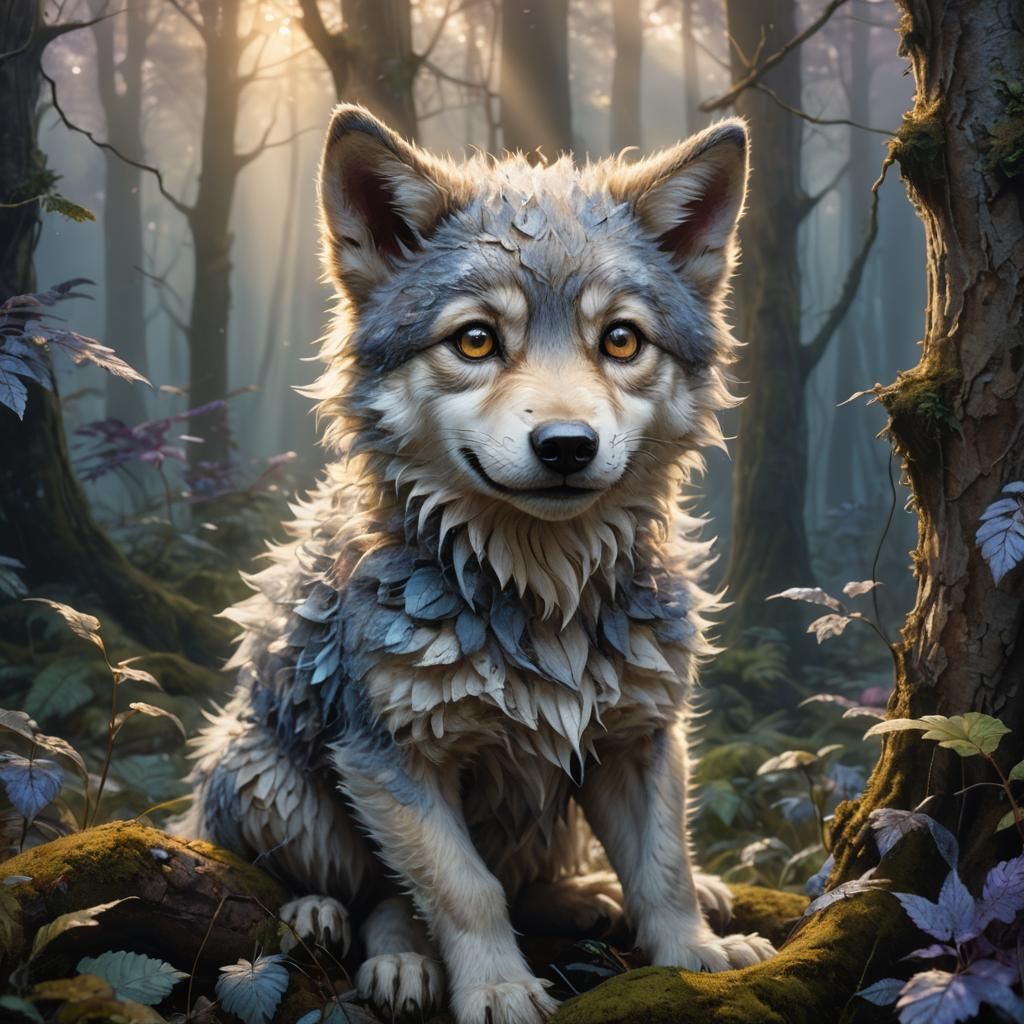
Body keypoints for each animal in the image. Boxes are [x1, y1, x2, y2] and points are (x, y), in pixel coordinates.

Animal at [178, 104, 775, 1023]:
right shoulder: (389, 759)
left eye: (621, 340)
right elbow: (462, 890)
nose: (566, 446)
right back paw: (351, 935)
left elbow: (665, 867)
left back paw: (590, 898)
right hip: (269, 778)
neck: (541, 593)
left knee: (524, 882)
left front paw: (696, 957)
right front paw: (498, 988)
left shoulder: (641, 738)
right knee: (368, 894)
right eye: (476, 340)